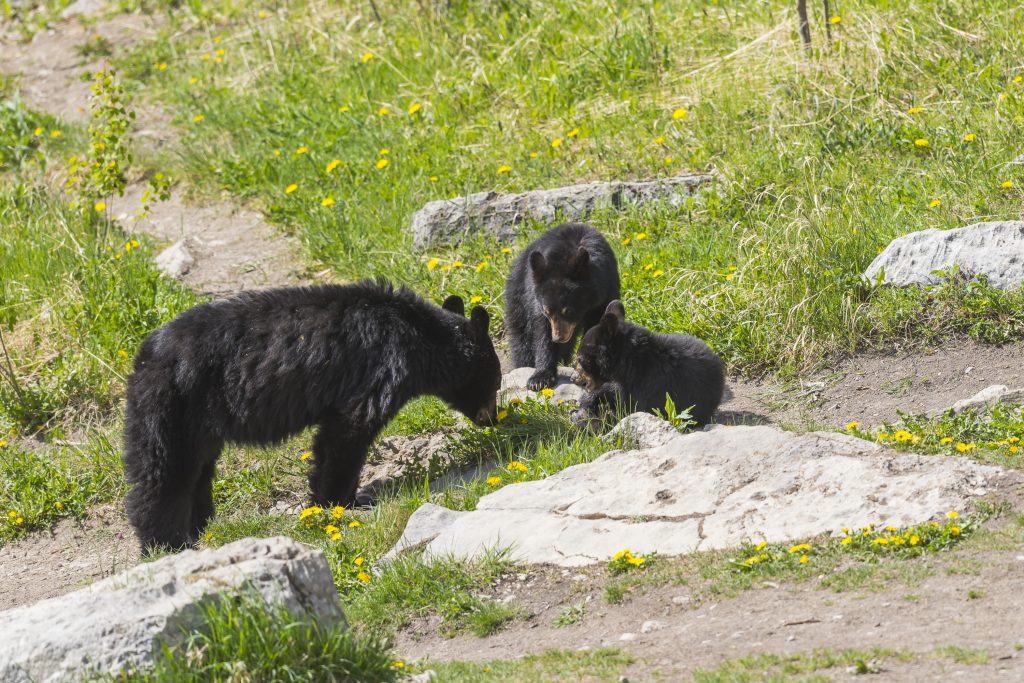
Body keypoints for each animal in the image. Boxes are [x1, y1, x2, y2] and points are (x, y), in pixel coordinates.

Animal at [121, 280, 501, 552]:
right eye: (496, 381)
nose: (493, 419)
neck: (420, 335)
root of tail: (145, 354)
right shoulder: (379, 369)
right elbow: (348, 432)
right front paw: (340, 501)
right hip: (173, 405)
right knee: (163, 473)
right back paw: (165, 543)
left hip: (197, 423)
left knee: (197, 473)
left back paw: (201, 526)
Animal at [501, 222, 614, 387]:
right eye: (547, 312)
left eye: (569, 311)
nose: (558, 338)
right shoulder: (536, 302)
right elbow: (542, 332)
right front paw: (540, 378)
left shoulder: (606, 290)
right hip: (518, 296)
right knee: (521, 336)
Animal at [573, 301, 724, 428]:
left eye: (579, 359)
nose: (575, 377)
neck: (628, 365)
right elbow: (611, 391)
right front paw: (586, 404)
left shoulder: (652, 385)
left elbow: (635, 411)